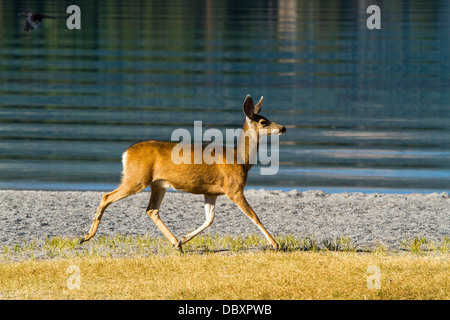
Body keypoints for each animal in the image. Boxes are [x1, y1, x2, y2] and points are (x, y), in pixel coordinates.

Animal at [79, 94, 286, 251]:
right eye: (263, 121)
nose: (283, 127)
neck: (240, 159)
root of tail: (126, 154)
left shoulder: (211, 192)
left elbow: (209, 220)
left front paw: (183, 238)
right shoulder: (233, 188)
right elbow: (254, 216)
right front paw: (275, 244)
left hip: (158, 184)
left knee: (151, 209)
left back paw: (176, 244)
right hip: (137, 178)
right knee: (107, 196)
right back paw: (86, 236)